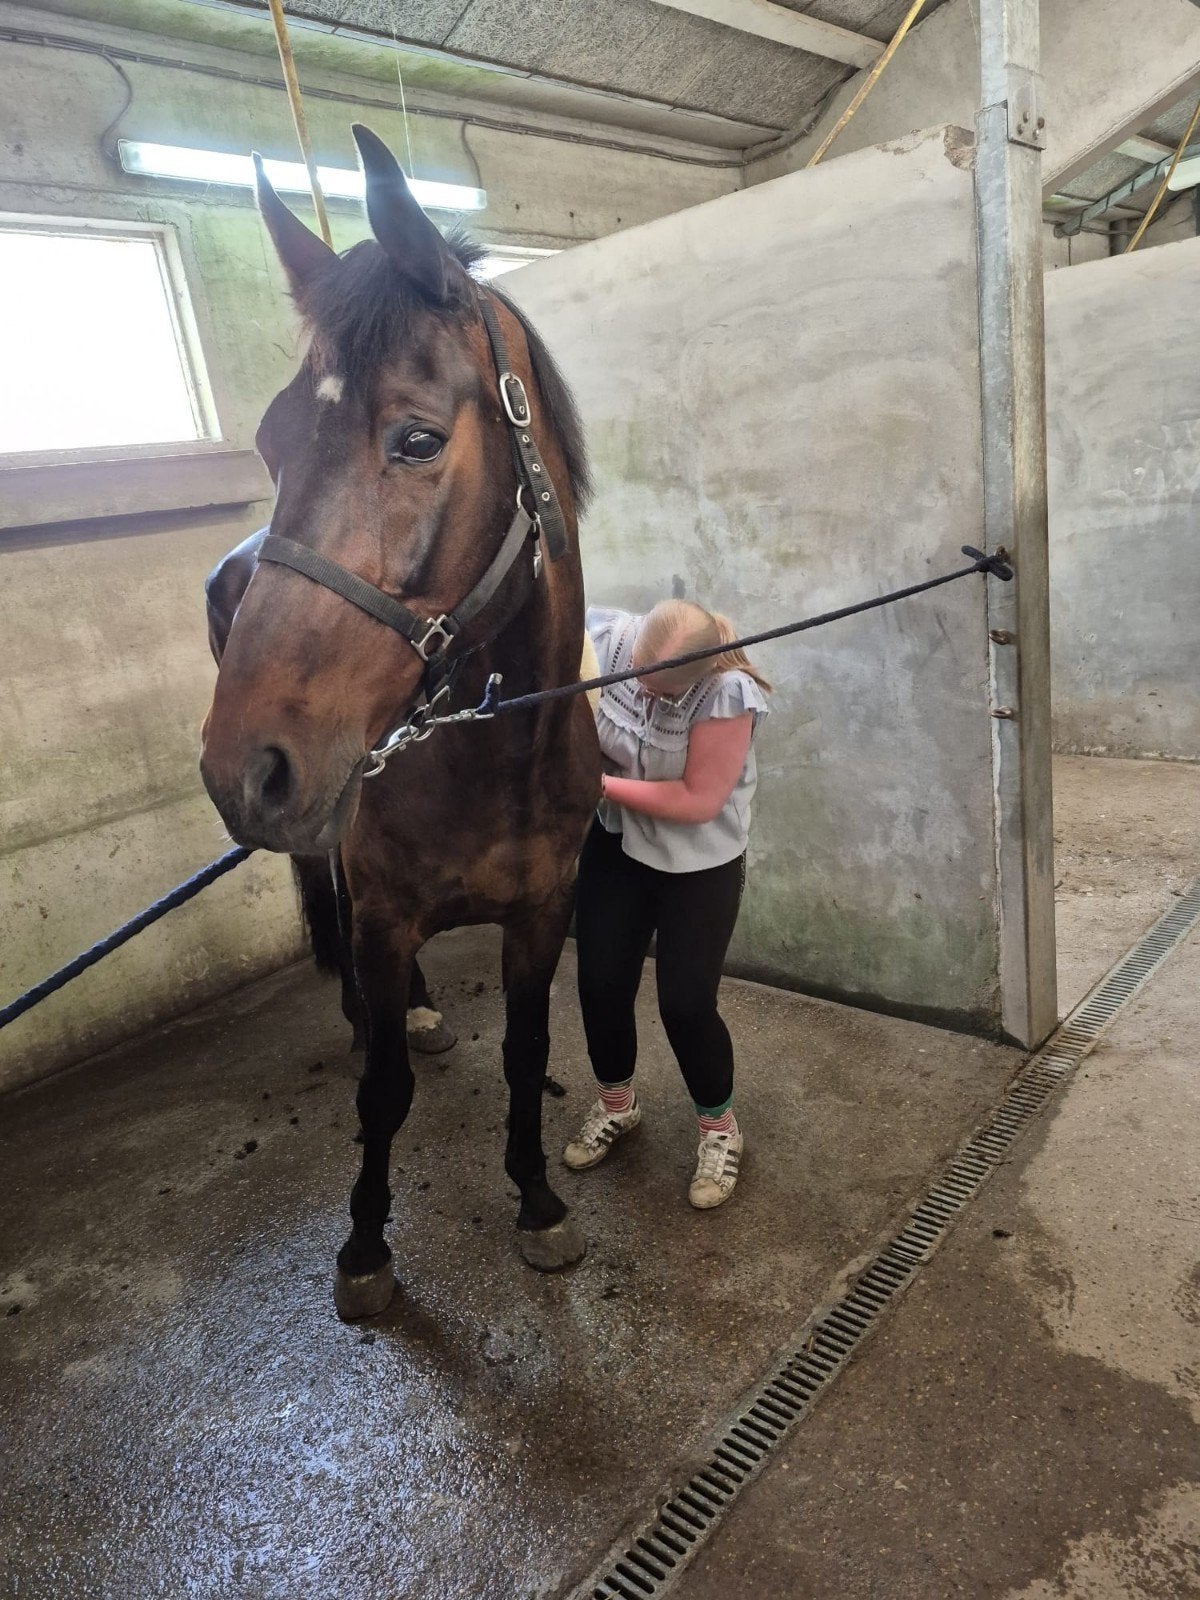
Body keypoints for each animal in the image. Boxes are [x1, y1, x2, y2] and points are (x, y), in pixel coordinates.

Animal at [199, 124, 601, 1319]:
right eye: (272, 443)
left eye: (418, 439)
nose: (244, 768)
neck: (493, 754)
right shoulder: (379, 915)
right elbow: (380, 1093)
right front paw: (364, 1246)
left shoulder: (544, 911)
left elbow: (527, 1054)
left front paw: (538, 1203)